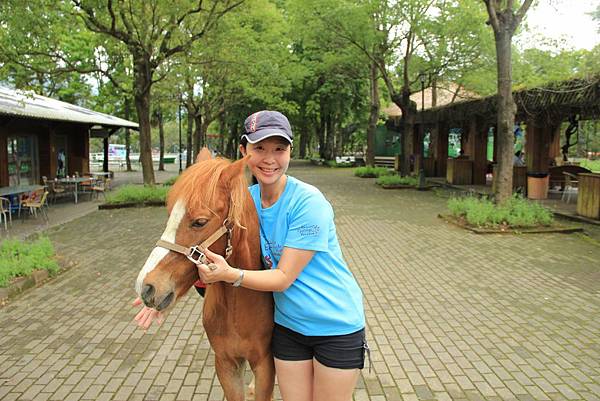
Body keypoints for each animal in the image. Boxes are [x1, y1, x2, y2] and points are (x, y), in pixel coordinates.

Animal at [135, 149, 274, 400]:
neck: (237, 308)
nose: (147, 287)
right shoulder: (226, 364)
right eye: (169, 214)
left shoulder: (265, 364)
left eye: (199, 222)